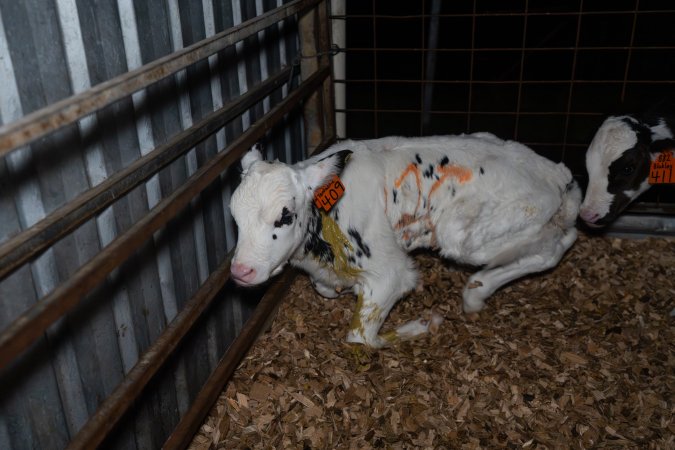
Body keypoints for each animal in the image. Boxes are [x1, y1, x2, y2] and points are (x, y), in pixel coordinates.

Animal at [230, 134, 581, 348]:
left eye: (285, 216)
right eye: (234, 217)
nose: (241, 271)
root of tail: (558, 175)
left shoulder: (391, 273)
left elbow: (361, 338)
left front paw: (424, 325)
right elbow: (325, 288)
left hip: (466, 235)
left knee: (557, 245)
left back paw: (474, 294)